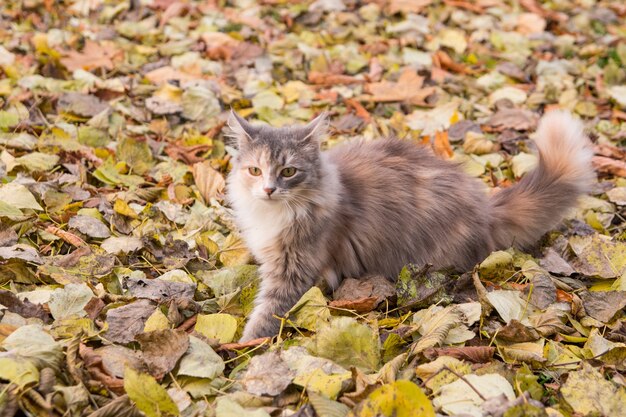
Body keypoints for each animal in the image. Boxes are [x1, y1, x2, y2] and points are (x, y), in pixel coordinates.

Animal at [223, 109, 588, 340]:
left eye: (288, 172)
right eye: (254, 171)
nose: (268, 189)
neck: (278, 214)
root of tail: (485, 208)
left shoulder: (294, 269)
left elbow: (266, 313)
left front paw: (241, 350)